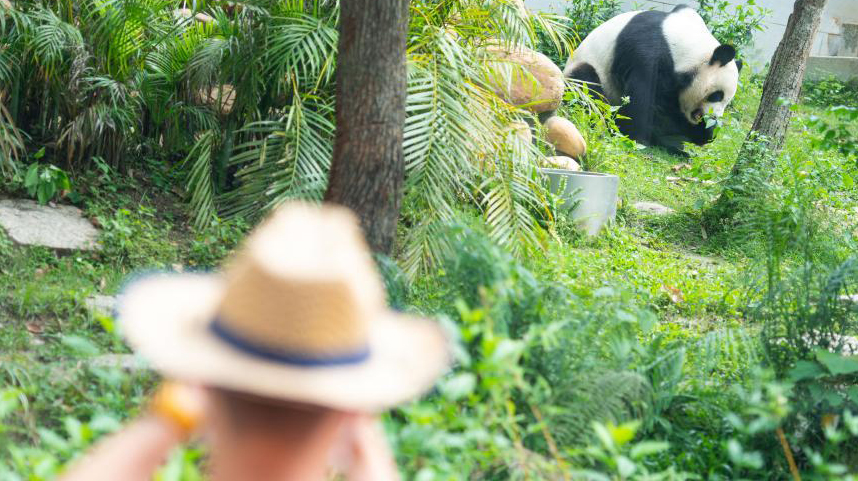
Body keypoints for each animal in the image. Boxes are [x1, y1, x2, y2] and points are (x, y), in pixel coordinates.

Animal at [564, 4, 740, 155]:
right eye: (717, 95)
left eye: (727, 102)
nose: (715, 118)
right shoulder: (645, 53)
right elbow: (641, 99)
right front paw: (637, 139)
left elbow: (671, 111)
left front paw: (704, 132)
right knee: (586, 86)